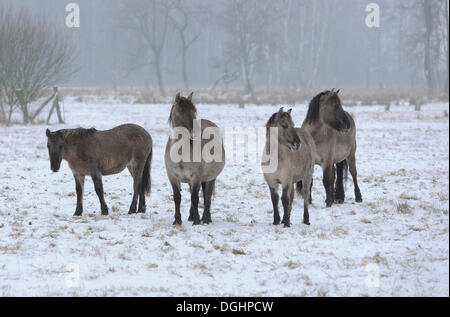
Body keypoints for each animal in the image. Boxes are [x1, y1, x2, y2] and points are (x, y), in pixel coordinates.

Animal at [165, 91, 225, 225]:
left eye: (194, 110)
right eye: (181, 110)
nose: (195, 133)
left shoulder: (196, 177)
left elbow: (195, 198)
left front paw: (197, 221)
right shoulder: (173, 177)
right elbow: (177, 198)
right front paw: (177, 220)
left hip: (210, 177)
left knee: (207, 197)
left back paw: (206, 218)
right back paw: (191, 216)